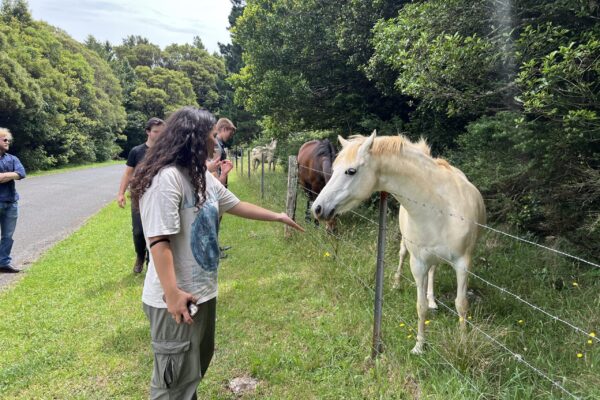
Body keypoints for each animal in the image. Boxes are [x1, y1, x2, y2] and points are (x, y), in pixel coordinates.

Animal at [312, 131, 486, 354]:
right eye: (333, 170)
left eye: (351, 171)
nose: (317, 208)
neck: (439, 209)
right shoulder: (418, 264)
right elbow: (420, 306)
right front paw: (419, 346)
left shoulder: (463, 263)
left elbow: (461, 304)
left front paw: (463, 343)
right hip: (407, 247)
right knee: (403, 256)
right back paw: (397, 284)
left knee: (434, 271)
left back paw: (433, 300)